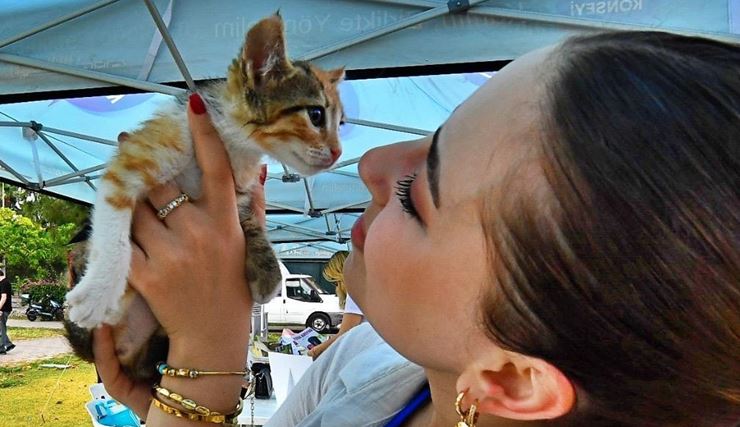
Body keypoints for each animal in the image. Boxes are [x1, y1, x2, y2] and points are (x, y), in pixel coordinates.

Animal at [62, 14, 344, 382]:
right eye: (316, 115)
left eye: (341, 123)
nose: (338, 153)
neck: (234, 144)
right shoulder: (133, 161)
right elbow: (113, 233)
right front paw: (98, 292)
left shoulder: (238, 191)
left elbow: (248, 223)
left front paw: (266, 271)